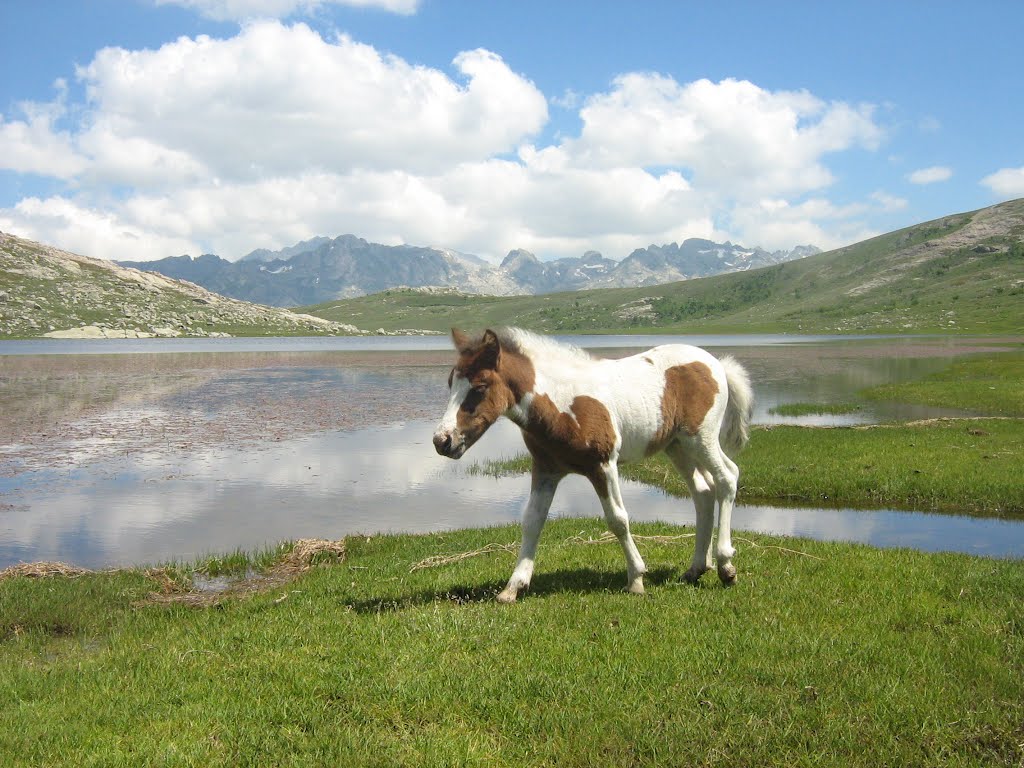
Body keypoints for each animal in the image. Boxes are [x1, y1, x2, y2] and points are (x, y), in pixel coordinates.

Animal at [432, 327, 753, 606]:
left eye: (480, 387)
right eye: (449, 383)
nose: (442, 441)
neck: (562, 404)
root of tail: (716, 363)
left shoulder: (603, 465)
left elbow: (618, 520)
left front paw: (636, 579)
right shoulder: (546, 470)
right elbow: (532, 521)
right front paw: (513, 587)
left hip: (701, 437)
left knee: (727, 477)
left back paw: (725, 566)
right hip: (677, 446)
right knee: (703, 491)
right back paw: (696, 568)